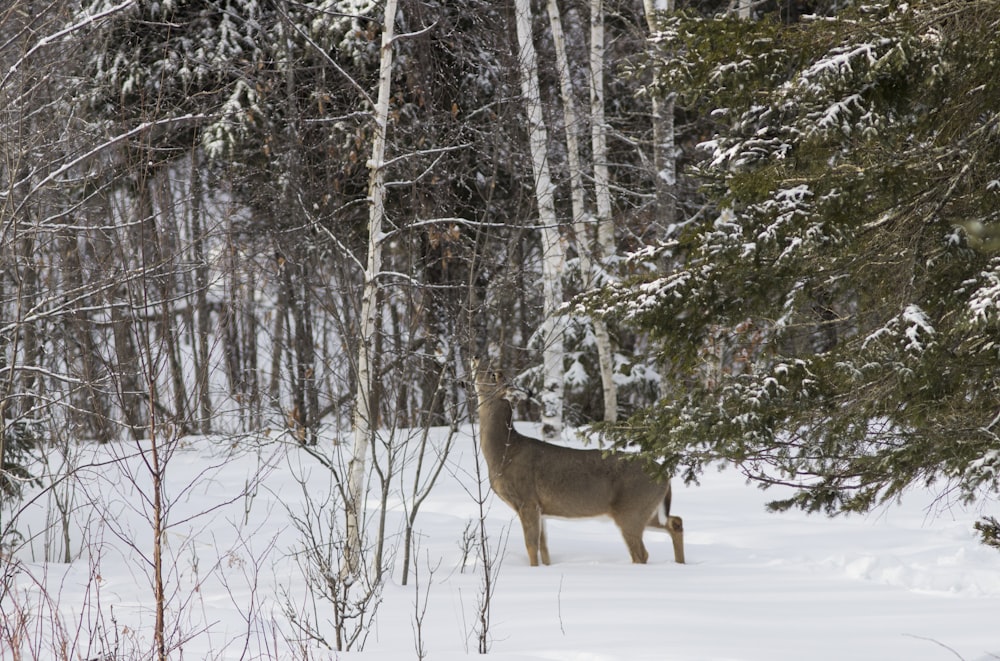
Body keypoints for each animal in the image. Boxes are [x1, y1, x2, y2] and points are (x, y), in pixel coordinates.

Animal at [472, 358, 684, 564]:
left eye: (494, 374)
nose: (475, 357)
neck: (504, 454)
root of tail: (665, 474)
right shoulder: (541, 508)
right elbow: (544, 549)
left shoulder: (527, 500)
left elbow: (532, 547)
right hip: (649, 508)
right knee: (675, 522)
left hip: (632, 509)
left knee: (641, 554)